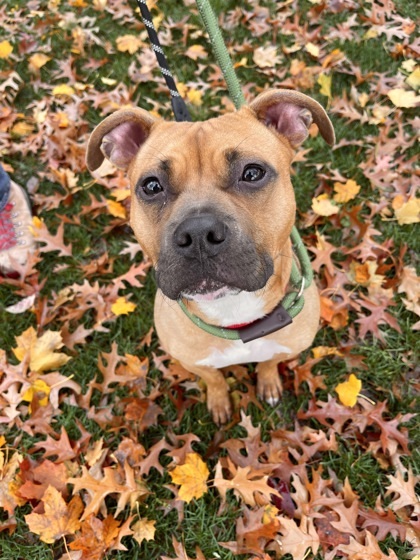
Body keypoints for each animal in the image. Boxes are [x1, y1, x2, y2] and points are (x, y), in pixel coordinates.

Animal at [86, 91, 334, 424]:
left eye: (252, 173)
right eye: (151, 186)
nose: (198, 234)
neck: (233, 311)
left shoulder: (285, 346)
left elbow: (269, 363)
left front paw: (268, 383)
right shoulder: (194, 361)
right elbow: (214, 378)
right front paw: (218, 402)